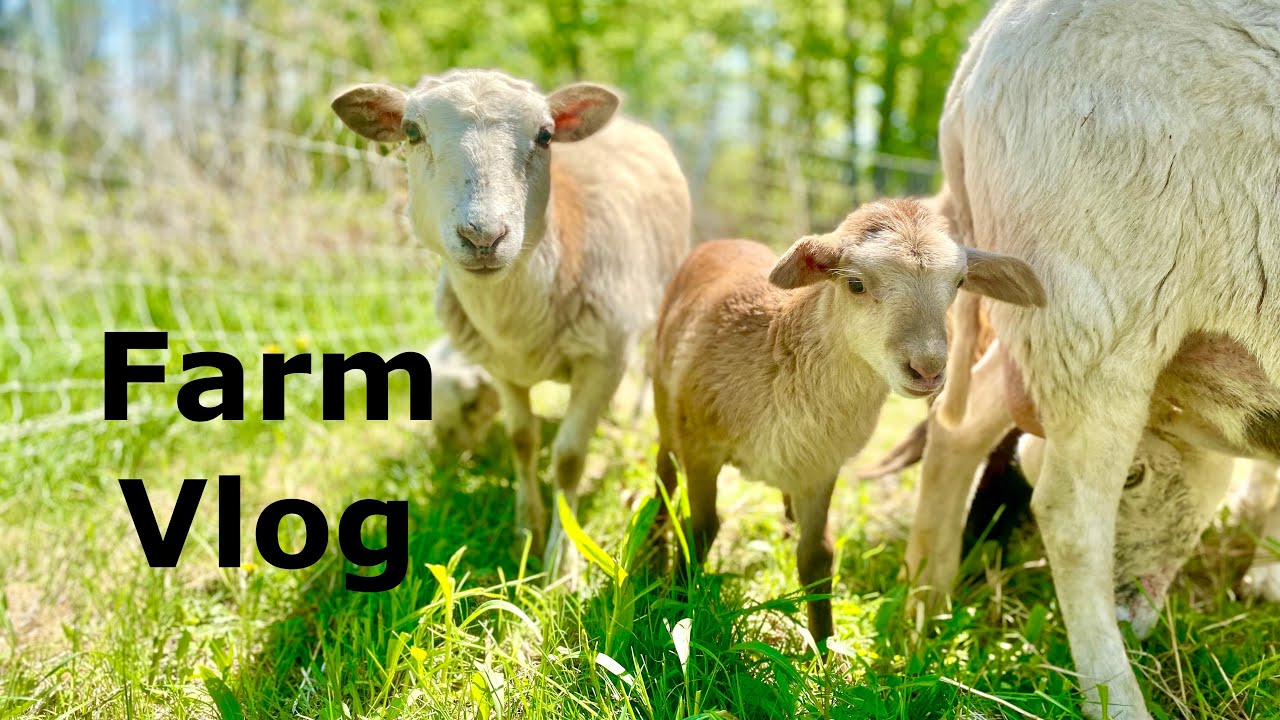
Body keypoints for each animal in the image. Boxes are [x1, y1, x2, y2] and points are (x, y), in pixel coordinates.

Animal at [332, 70, 692, 564]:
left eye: (545, 135)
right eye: (411, 132)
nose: (484, 237)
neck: (517, 325)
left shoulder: (602, 360)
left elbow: (569, 458)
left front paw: (563, 558)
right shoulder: (501, 367)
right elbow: (522, 441)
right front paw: (527, 529)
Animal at [649, 199, 1044, 643]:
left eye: (959, 283)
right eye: (855, 284)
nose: (927, 369)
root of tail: (725, 240)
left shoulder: (820, 464)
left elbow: (817, 555)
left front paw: (824, 649)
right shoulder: (702, 446)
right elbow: (699, 529)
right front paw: (676, 610)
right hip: (665, 402)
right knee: (663, 475)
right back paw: (650, 548)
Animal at [928, 1, 1280, 713]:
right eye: (1137, 477)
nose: (1126, 613)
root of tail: (975, 56)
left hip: (1038, 312)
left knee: (958, 428)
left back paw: (923, 610)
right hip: (1097, 308)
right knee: (1070, 520)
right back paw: (1118, 700)